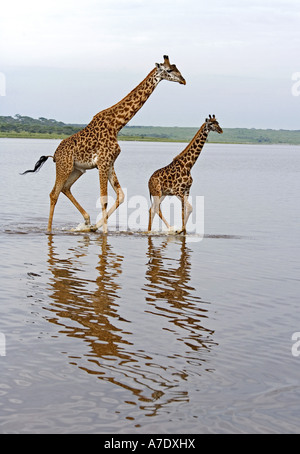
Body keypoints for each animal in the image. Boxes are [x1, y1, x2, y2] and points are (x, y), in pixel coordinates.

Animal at [21, 56, 185, 232]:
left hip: (77, 170)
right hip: (64, 167)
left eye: (176, 67)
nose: (183, 80)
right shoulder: (102, 162)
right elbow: (103, 199)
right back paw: (49, 230)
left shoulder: (110, 163)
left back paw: (86, 221)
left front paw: (95, 227)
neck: (117, 124)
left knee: (65, 188)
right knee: (54, 194)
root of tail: (54, 156)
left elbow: (120, 195)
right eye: (169, 70)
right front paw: (103, 233)